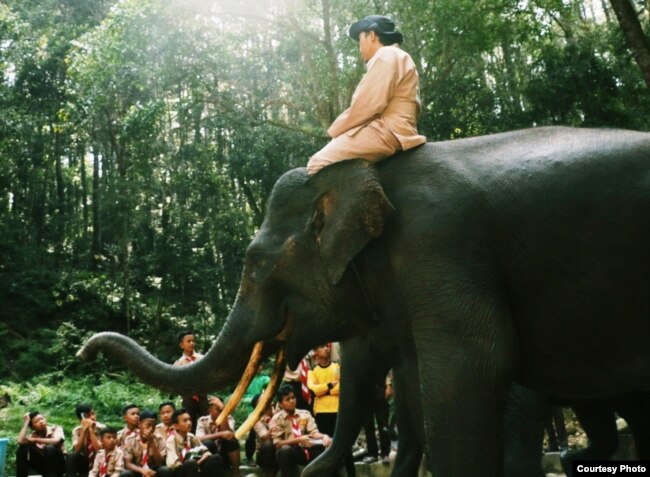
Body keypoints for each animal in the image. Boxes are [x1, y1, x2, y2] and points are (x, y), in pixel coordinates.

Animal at [79, 126, 648, 476]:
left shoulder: (440, 246)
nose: (84, 349)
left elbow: (474, 367)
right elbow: (417, 381)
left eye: (255, 263)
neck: (367, 172)